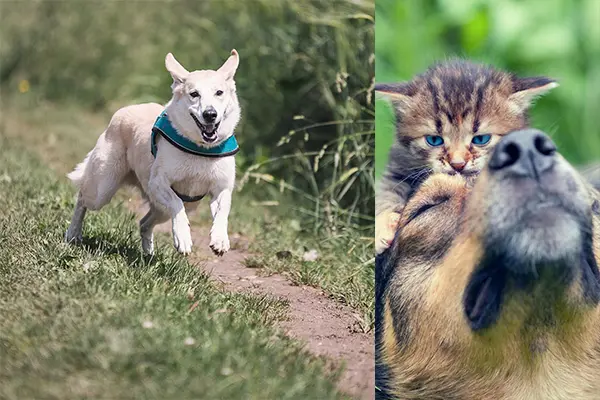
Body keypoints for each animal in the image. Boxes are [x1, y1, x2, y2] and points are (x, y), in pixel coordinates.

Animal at [65, 50, 241, 256]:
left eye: (219, 92)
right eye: (194, 94)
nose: (210, 114)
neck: (200, 149)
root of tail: (124, 110)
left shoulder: (222, 188)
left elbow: (223, 212)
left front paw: (220, 239)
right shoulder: (158, 183)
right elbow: (176, 203)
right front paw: (183, 238)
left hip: (167, 208)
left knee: (144, 223)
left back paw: (148, 254)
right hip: (103, 188)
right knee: (82, 198)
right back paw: (73, 234)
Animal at [376, 59, 556, 253]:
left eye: (481, 139)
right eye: (434, 140)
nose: (457, 164)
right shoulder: (398, 166)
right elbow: (385, 194)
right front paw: (381, 226)